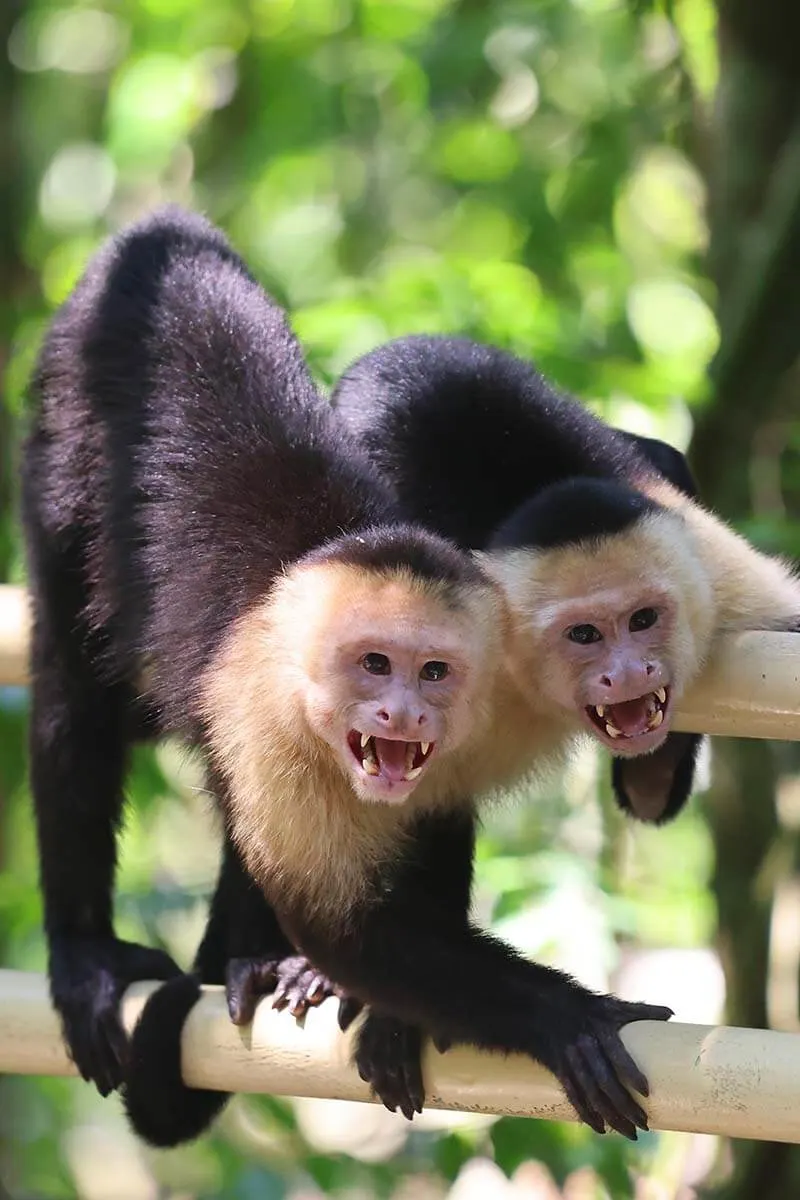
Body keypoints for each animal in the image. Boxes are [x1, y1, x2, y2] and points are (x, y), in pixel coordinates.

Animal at [20, 211, 671, 1147]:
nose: (404, 713)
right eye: (374, 664)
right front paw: (566, 1017)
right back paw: (102, 953)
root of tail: (157, 232)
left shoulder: (477, 702)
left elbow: (428, 835)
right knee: (73, 689)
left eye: (435, 671)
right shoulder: (257, 716)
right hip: (62, 430)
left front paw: (387, 1016)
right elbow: (347, 927)